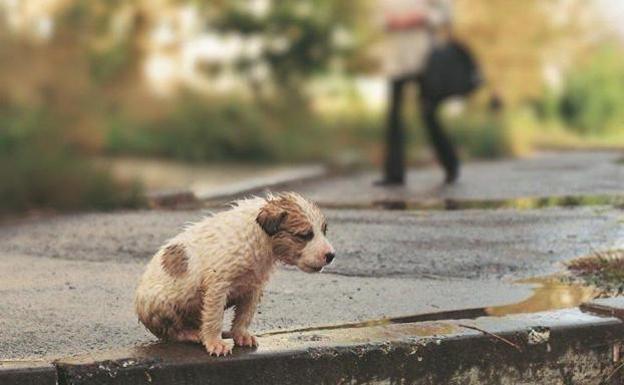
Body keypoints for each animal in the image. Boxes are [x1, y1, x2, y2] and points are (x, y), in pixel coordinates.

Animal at [135, 191, 334, 354]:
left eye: (324, 231)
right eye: (304, 235)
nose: (331, 255)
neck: (259, 237)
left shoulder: (253, 287)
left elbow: (244, 315)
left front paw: (241, 335)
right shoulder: (218, 286)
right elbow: (214, 318)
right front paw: (215, 342)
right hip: (162, 304)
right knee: (171, 331)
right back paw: (192, 334)